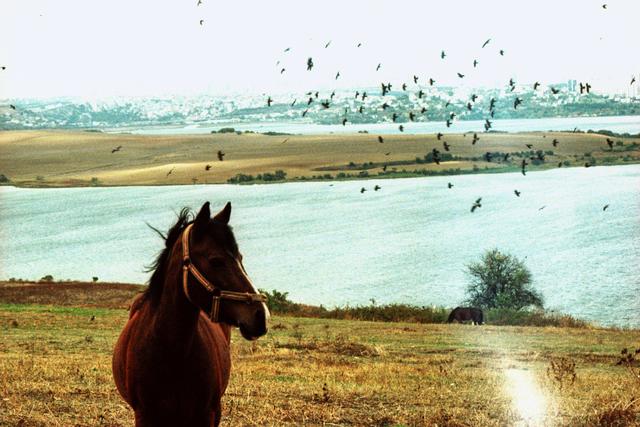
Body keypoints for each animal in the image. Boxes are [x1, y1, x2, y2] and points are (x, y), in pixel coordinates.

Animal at [112, 201, 270, 427]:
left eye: (240, 258)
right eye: (216, 261)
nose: (261, 315)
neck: (173, 354)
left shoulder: (207, 415)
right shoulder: (145, 416)